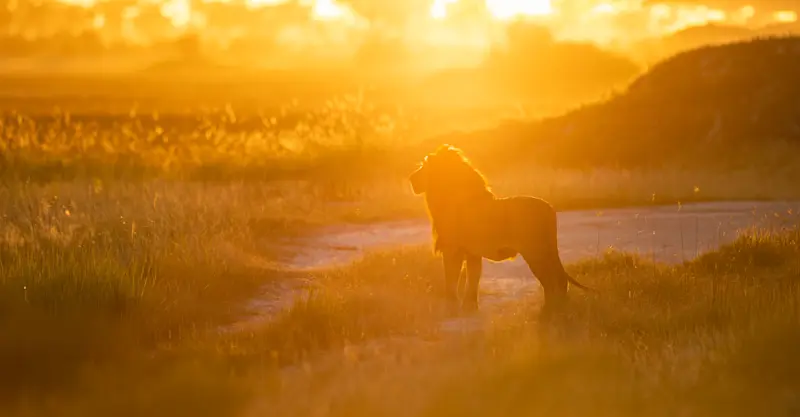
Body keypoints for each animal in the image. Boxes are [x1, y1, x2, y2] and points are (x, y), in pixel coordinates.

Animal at [408, 144, 592, 316]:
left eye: (424, 166)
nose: (410, 178)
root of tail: (550, 208)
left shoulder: (452, 250)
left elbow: (451, 282)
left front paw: (451, 310)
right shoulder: (472, 252)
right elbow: (472, 280)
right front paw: (469, 308)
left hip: (535, 252)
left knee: (553, 281)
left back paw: (550, 311)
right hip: (543, 252)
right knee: (556, 281)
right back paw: (555, 309)